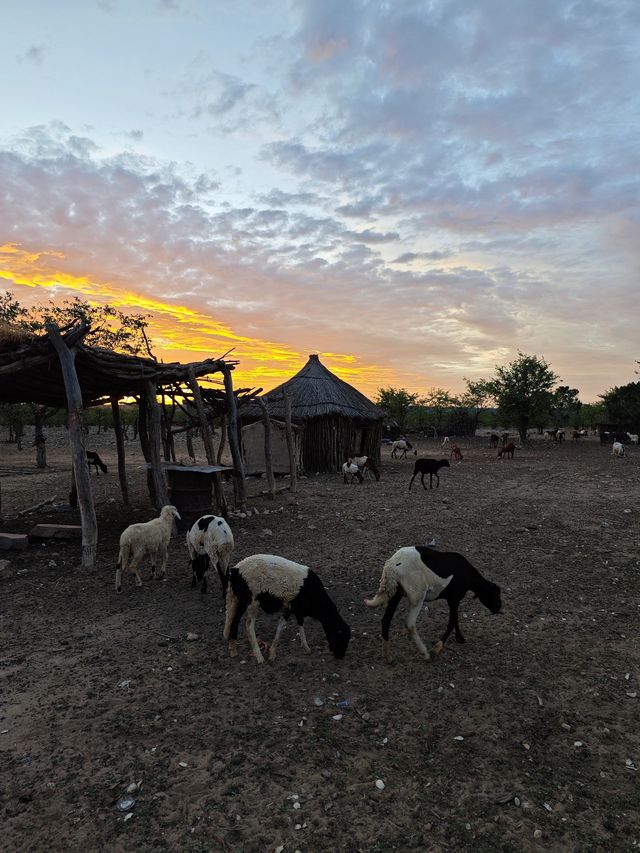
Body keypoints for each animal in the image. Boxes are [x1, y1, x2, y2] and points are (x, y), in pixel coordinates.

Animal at [222, 552, 352, 664]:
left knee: (233, 621)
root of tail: (235, 570)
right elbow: (281, 629)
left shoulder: (298, 609)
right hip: (252, 600)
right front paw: (272, 654)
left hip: (239, 600)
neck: (316, 601)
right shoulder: (288, 607)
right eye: (342, 637)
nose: (340, 656)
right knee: (249, 626)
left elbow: (300, 625)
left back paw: (233, 650)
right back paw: (259, 657)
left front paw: (306, 648)